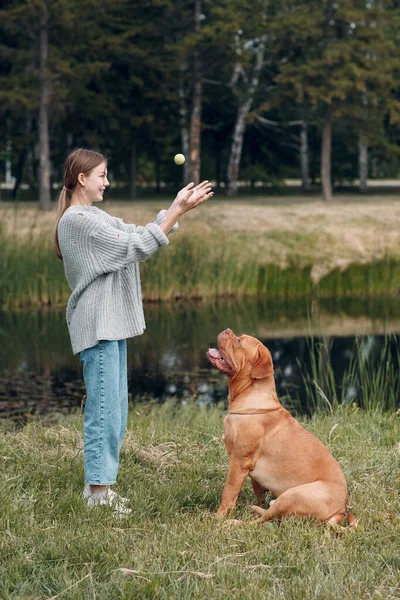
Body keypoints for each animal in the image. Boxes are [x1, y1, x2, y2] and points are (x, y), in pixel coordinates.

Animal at [206, 330, 356, 528]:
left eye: (238, 341)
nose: (227, 330)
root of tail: (339, 513)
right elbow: (257, 489)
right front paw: (257, 501)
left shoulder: (239, 462)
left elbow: (228, 493)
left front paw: (218, 517)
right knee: (268, 513)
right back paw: (256, 508)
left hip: (293, 495)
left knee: (261, 522)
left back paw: (233, 522)